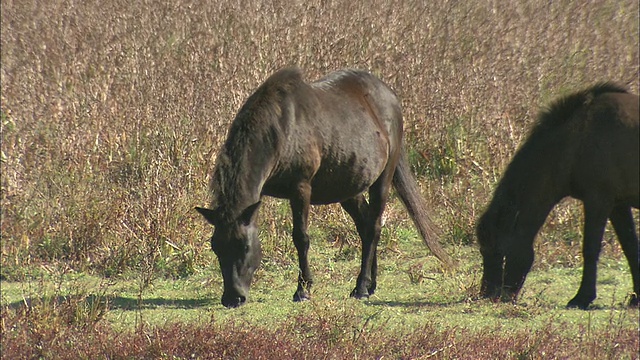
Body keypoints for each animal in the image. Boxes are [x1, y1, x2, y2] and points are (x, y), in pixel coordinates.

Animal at [195, 67, 450, 306]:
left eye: (246, 247)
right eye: (216, 247)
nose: (232, 298)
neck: (281, 129)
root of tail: (390, 97)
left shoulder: (300, 188)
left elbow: (301, 237)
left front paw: (303, 289)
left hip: (382, 180)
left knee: (374, 227)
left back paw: (361, 287)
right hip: (349, 187)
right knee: (365, 226)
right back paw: (370, 284)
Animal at [478, 83, 636, 308]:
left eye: (497, 249)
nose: (487, 294)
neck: (578, 138)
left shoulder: (598, 201)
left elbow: (590, 249)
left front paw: (582, 298)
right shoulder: (618, 205)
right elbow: (631, 247)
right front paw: (636, 298)